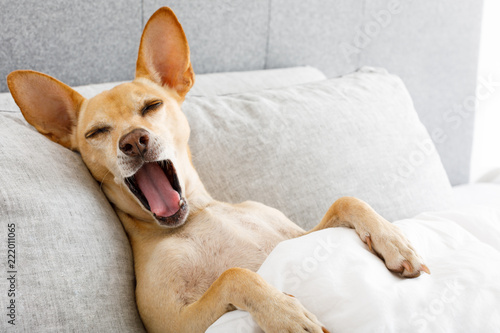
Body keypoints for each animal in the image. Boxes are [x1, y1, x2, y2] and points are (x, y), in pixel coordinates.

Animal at [6, 7, 430, 332]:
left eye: (151, 106)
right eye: (96, 132)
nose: (134, 141)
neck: (198, 215)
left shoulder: (296, 237)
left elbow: (347, 200)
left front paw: (393, 240)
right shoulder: (173, 323)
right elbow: (235, 275)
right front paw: (284, 311)